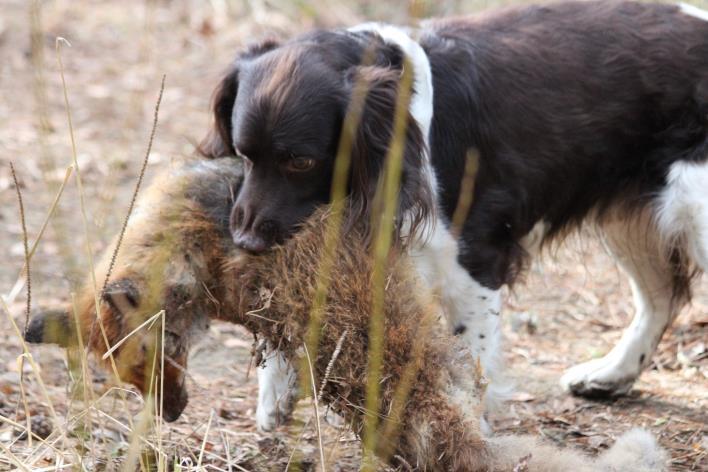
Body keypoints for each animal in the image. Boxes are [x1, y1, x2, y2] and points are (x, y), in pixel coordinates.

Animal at [198, 0, 708, 432]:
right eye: (243, 154)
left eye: (301, 162)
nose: (245, 241)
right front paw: (275, 392)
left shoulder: (474, 262)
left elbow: (470, 360)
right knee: (661, 297)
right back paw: (611, 373)